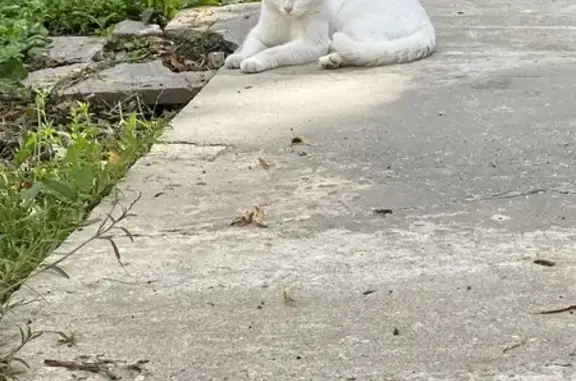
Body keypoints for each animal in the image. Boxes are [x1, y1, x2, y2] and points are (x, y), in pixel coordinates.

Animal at [223, 0, 434, 73]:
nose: (288, 8)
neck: (288, 20)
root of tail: (427, 22)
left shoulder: (311, 44)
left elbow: (275, 51)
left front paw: (254, 61)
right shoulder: (259, 35)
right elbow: (250, 45)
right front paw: (237, 57)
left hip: (355, 22)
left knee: (366, 51)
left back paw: (333, 58)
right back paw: (333, 61)